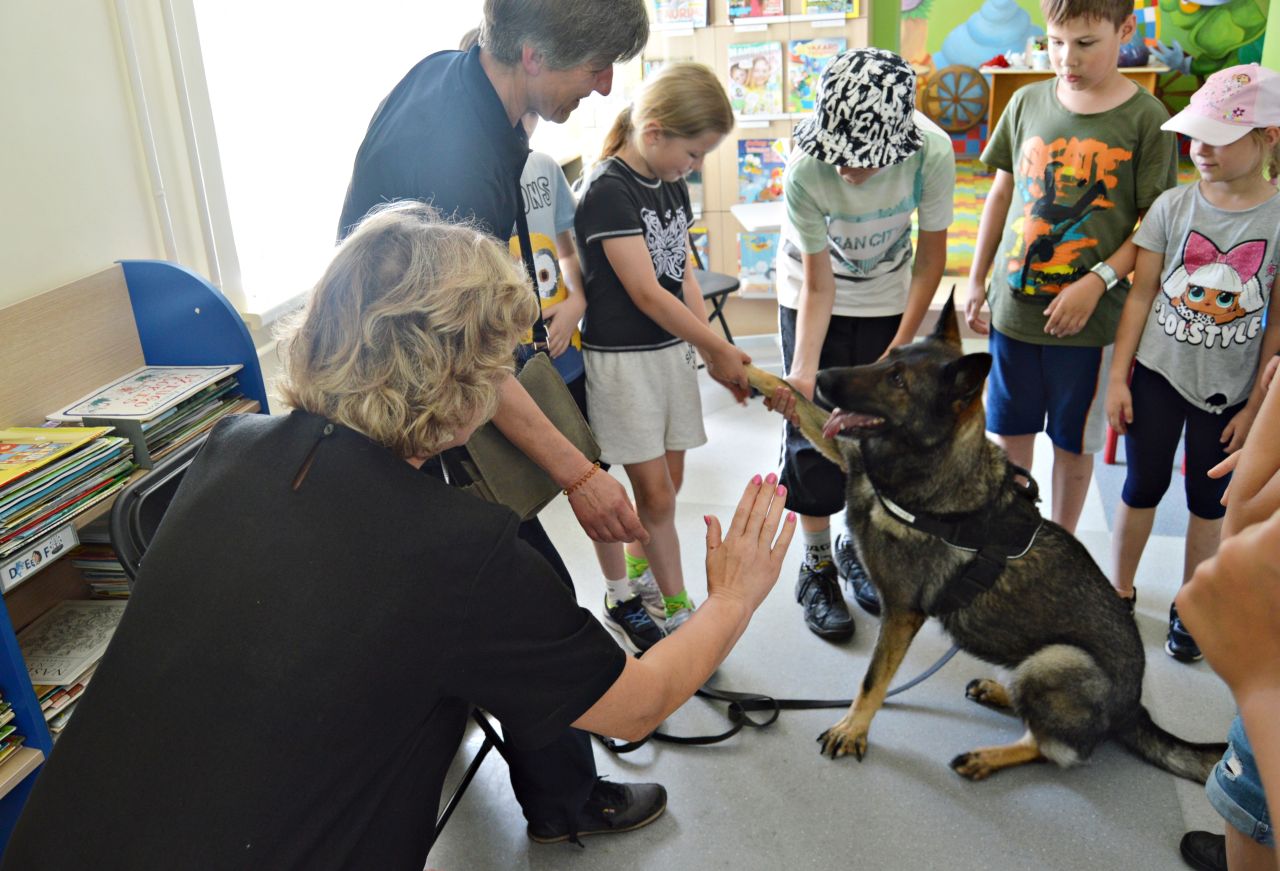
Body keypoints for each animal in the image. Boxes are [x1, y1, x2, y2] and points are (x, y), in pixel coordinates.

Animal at [747, 299, 1223, 783]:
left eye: (897, 380)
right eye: (888, 357)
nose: (822, 376)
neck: (929, 475)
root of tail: (1134, 709)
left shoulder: (901, 613)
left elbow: (872, 680)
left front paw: (853, 728)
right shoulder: (849, 454)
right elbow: (800, 403)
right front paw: (755, 373)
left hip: (1056, 660)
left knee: (1053, 748)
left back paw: (986, 757)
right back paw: (999, 692)